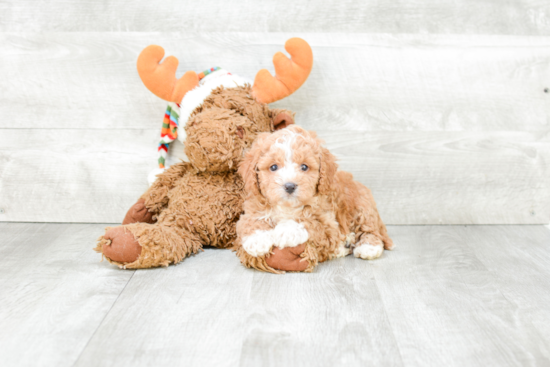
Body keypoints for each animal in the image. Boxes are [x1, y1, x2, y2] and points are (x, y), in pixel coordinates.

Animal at [235, 124, 394, 274]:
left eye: (304, 167)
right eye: (273, 167)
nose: (289, 186)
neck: (288, 207)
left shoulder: (329, 224)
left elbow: (309, 221)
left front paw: (286, 231)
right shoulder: (253, 208)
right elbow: (251, 221)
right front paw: (257, 240)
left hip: (362, 207)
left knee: (370, 230)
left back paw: (368, 248)